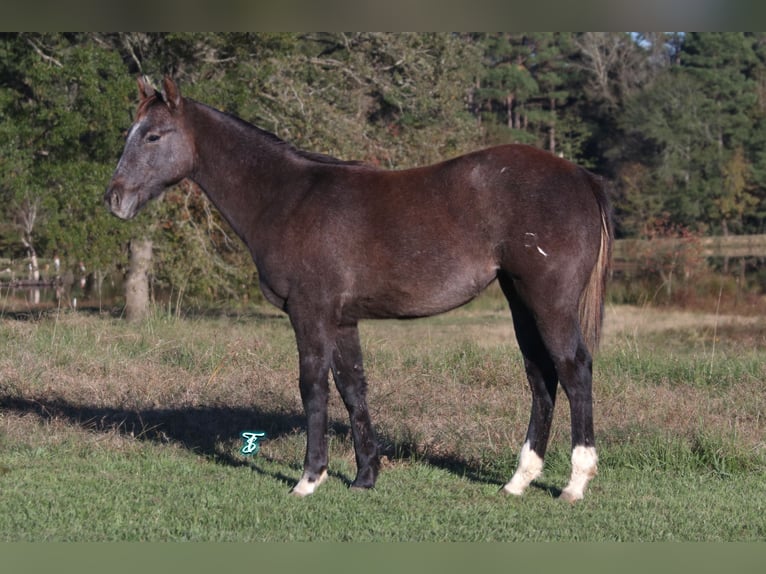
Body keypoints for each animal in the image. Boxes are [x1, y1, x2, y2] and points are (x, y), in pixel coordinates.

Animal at [105, 77, 616, 504]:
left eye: (153, 136)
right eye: (131, 132)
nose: (114, 199)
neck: (288, 198)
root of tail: (581, 177)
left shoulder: (309, 312)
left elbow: (312, 387)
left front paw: (310, 477)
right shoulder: (343, 318)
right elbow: (352, 388)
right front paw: (365, 475)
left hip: (549, 302)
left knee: (574, 370)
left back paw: (575, 483)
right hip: (520, 301)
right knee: (541, 378)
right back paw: (518, 481)